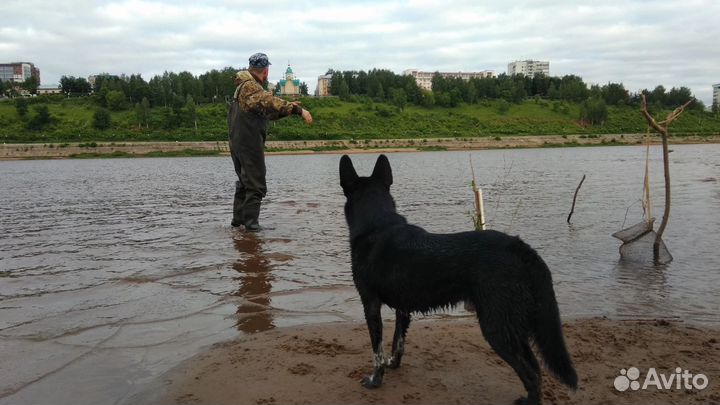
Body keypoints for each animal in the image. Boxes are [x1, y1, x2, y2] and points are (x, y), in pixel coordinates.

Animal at [338, 155, 580, 404]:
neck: (378, 224)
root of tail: (520, 247)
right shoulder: (402, 309)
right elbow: (398, 343)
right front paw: (393, 365)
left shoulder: (370, 305)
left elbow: (377, 351)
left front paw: (375, 380)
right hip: (513, 324)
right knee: (537, 369)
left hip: (496, 327)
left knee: (531, 373)